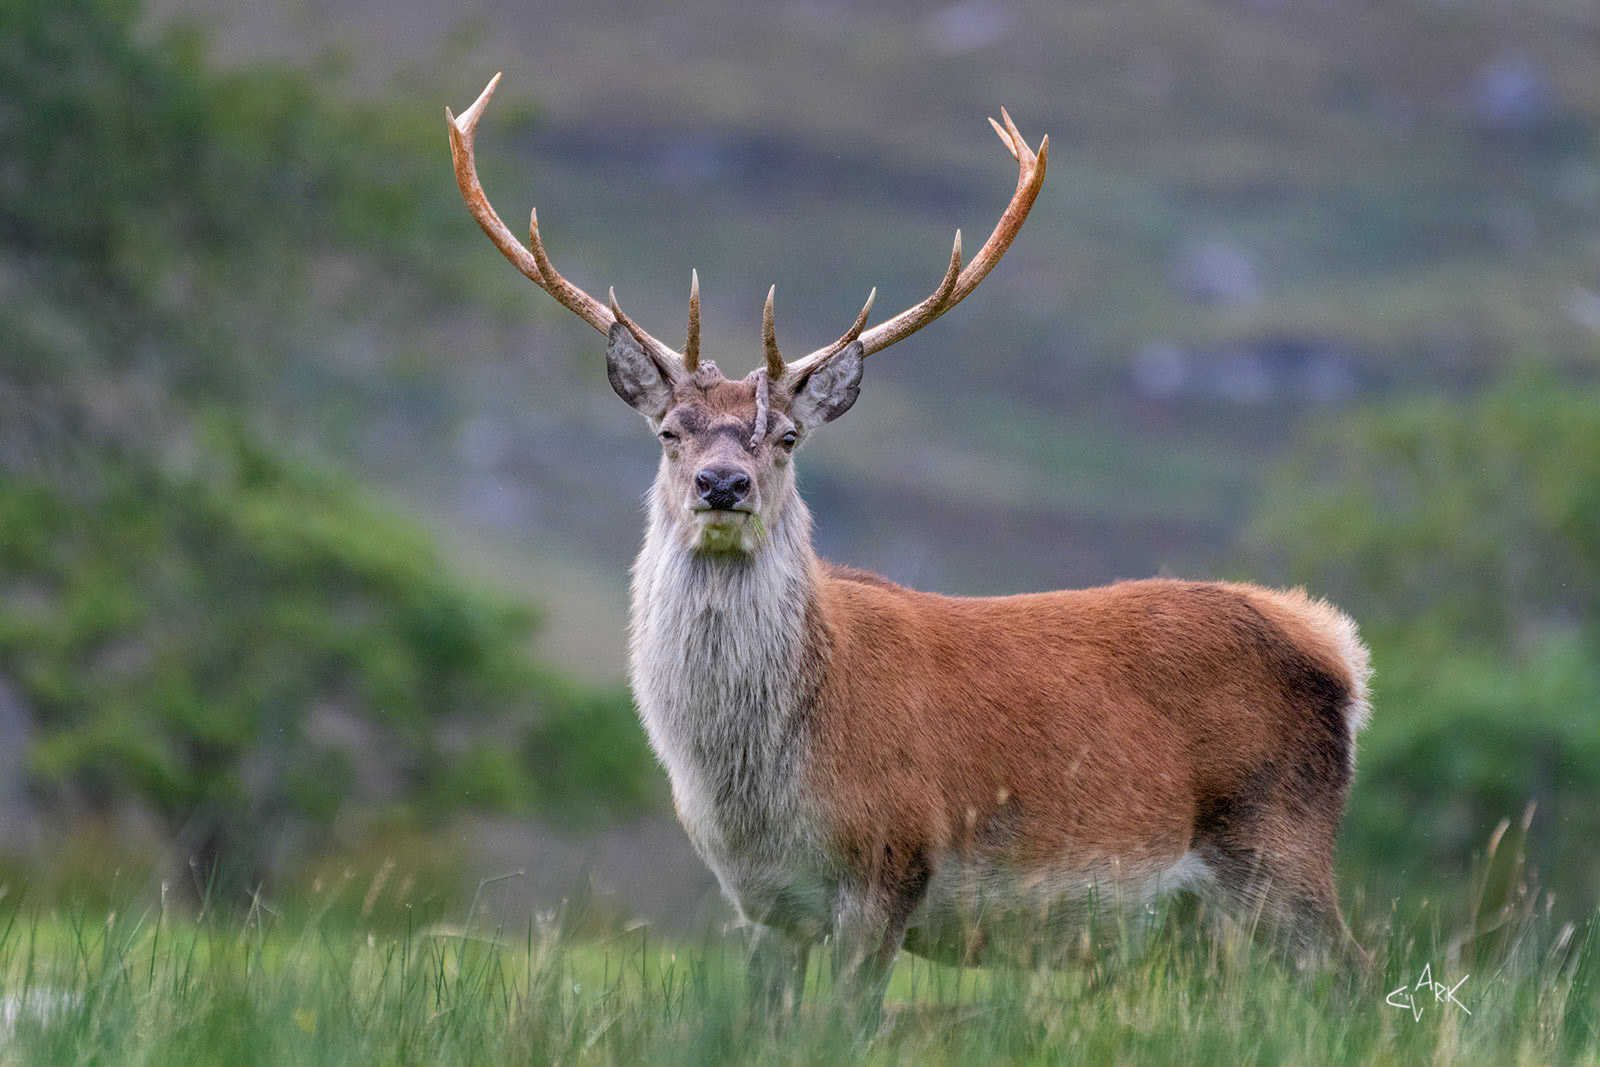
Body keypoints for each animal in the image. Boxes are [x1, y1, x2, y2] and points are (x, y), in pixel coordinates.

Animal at [446, 74, 1373, 1013]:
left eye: (786, 438)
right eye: (671, 432)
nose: (722, 485)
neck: (762, 787)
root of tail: (1337, 648)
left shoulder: (890, 859)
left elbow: (847, 1020)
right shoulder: (762, 903)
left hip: (1278, 840)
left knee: (1353, 977)